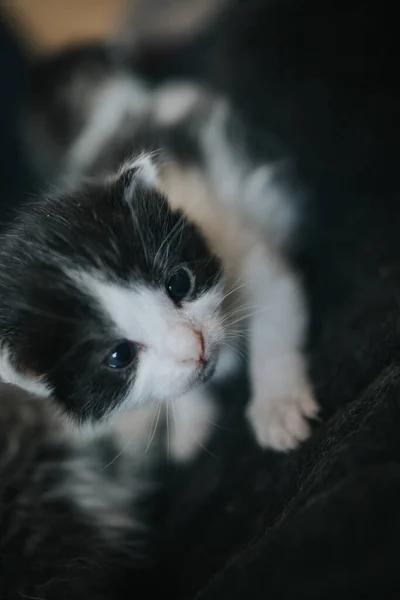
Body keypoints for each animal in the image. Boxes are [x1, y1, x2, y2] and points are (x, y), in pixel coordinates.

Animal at [0, 59, 318, 460]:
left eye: (179, 283)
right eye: (119, 356)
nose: (194, 347)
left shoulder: (245, 249)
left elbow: (275, 317)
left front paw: (278, 406)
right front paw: (191, 421)